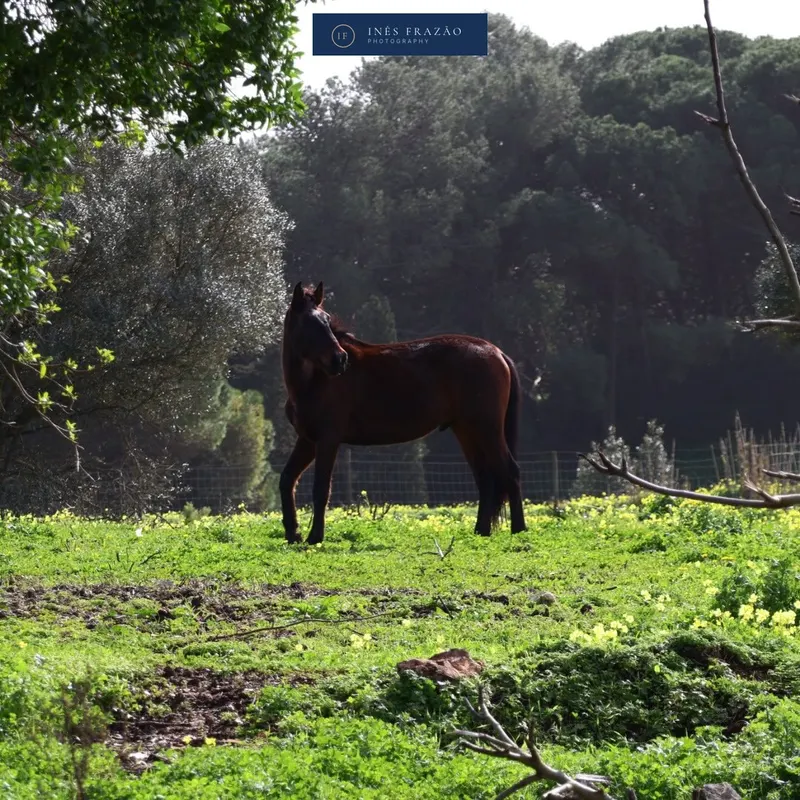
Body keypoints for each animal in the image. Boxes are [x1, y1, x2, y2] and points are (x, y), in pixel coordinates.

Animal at [279, 281, 527, 544]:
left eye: (326, 320)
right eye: (308, 322)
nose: (340, 360)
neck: (313, 381)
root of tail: (497, 353)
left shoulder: (327, 439)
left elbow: (321, 489)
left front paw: (314, 537)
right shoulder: (308, 439)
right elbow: (287, 480)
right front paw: (293, 533)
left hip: (487, 429)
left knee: (510, 471)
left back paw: (519, 529)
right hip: (467, 430)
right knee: (485, 479)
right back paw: (481, 531)